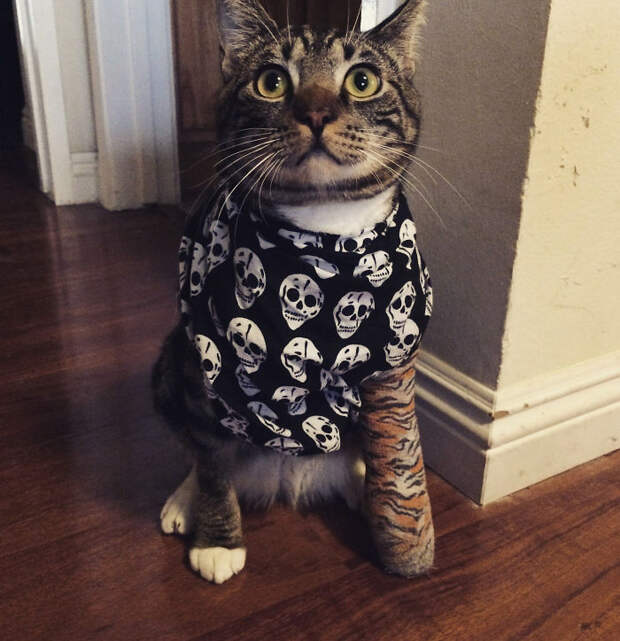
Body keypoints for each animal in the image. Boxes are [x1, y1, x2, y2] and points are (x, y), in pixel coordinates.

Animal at [154, 0, 436, 584]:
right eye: (272, 82)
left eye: (362, 80)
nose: (317, 113)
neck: (324, 235)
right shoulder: (202, 365)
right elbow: (211, 465)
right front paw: (218, 541)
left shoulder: (394, 360)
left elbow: (394, 443)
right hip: (168, 363)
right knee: (199, 448)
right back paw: (183, 502)